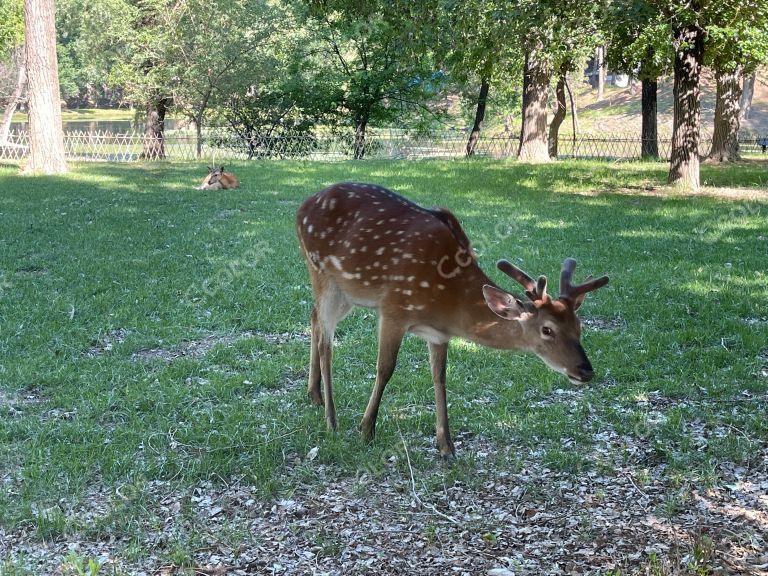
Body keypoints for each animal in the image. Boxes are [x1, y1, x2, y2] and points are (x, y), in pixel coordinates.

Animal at [296, 182, 608, 456]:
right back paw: (331, 419)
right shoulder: (393, 308)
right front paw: (366, 430)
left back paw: (314, 395)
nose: (585, 370)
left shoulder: (438, 334)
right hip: (323, 273)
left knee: (313, 317)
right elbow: (385, 368)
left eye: (579, 327)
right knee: (326, 342)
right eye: (547, 330)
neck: (449, 304)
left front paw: (446, 445)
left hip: (348, 293)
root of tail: (302, 207)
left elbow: (440, 377)